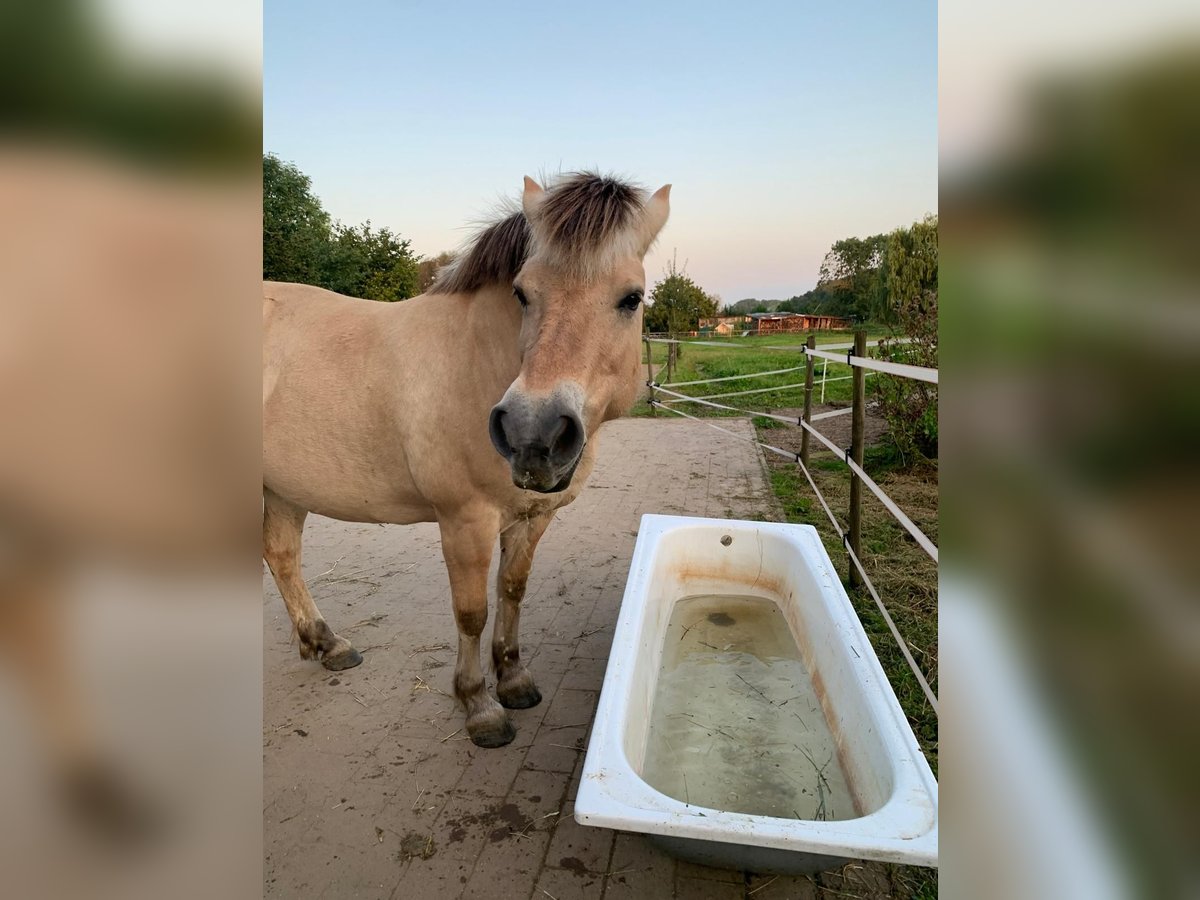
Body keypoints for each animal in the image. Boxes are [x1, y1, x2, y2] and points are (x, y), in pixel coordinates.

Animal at [262, 172, 672, 748]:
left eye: (631, 298)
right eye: (522, 293)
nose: (531, 433)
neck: (480, 360)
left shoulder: (532, 517)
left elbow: (512, 591)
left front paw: (514, 679)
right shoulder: (465, 520)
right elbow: (472, 612)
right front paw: (479, 705)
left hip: (283, 489)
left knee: (282, 557)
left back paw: (326, 643)